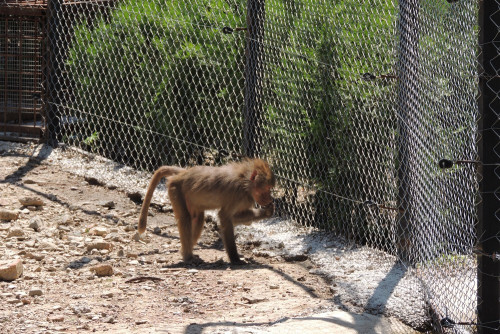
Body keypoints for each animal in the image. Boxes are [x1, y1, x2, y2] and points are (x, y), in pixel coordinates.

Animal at [139, 159, 276, 264]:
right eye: (267, 189)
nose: (270, 198)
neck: (245, 182)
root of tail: (184, 173)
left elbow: (234, 218)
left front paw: (267, 212)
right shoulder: (237, 194)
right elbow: (224, 217)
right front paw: (235, 259)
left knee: (198, 219)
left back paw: (185, 252)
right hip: (175, 188)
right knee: (185, 218)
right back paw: (188, 256)